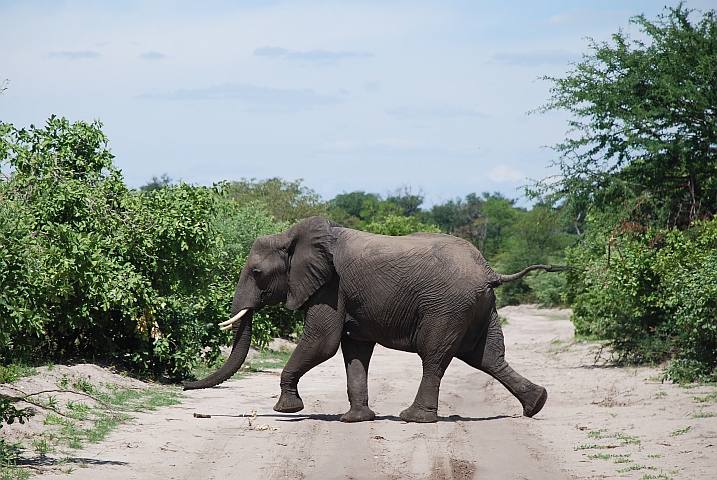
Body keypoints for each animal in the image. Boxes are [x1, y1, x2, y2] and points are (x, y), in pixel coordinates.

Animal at [183, 216, 567, 423]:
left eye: (257, 273)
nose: (185, 385)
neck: (295, 236)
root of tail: (489, 271)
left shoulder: (330, 286)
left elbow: (322, 342)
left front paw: (287, 409)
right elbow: (354, 349)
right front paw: (355, 420)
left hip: (446, 307)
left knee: (435, 356)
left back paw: (413, 418)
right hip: (480, 307)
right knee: (487, 357)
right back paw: (537, 404)